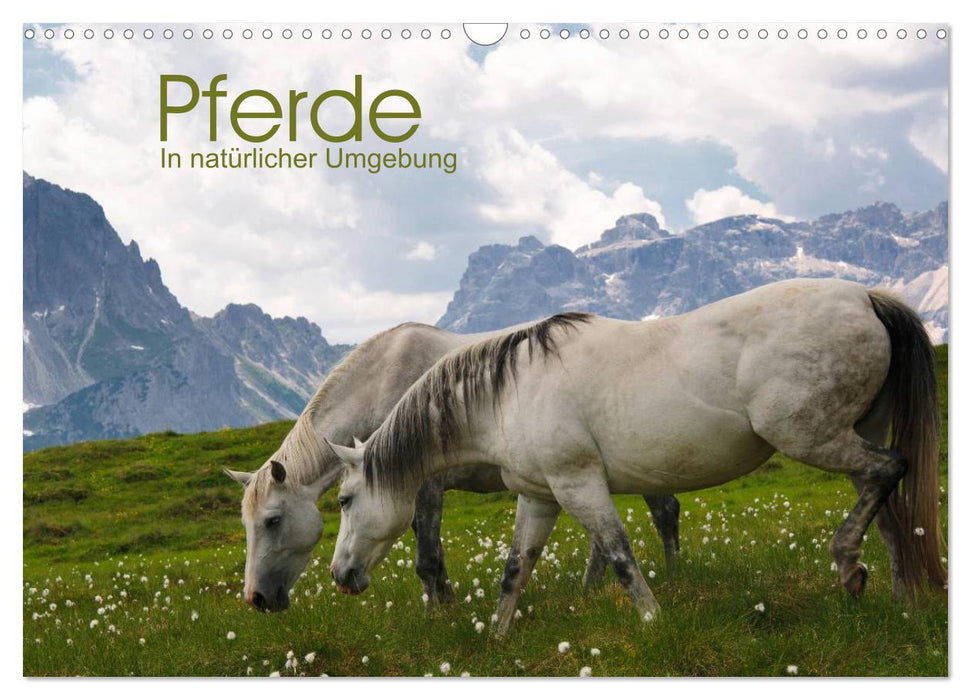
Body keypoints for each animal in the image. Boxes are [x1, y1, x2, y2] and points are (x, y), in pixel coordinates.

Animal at [222, 321, 682, 612]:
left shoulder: (424, 488)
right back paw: (591, 589)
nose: (256, 599)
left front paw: (436, 617)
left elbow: (426, 559)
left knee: (664, 512)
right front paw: (447, 604)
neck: (386, 384)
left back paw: (674, 576)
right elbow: (436, 557)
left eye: (272, 521)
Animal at [327, 278, 946, 635]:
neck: (509, 392)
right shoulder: (539, 496)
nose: (340, 575)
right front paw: (497, 638)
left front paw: (653, 622)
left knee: (891, 469)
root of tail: (865, 298)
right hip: (850, 434)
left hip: (811, 437)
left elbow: (619, 554)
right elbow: (515, 569)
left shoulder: (578, 484)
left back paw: (847, 563)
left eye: (345, 499)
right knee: (888, 510)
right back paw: (897, 600)